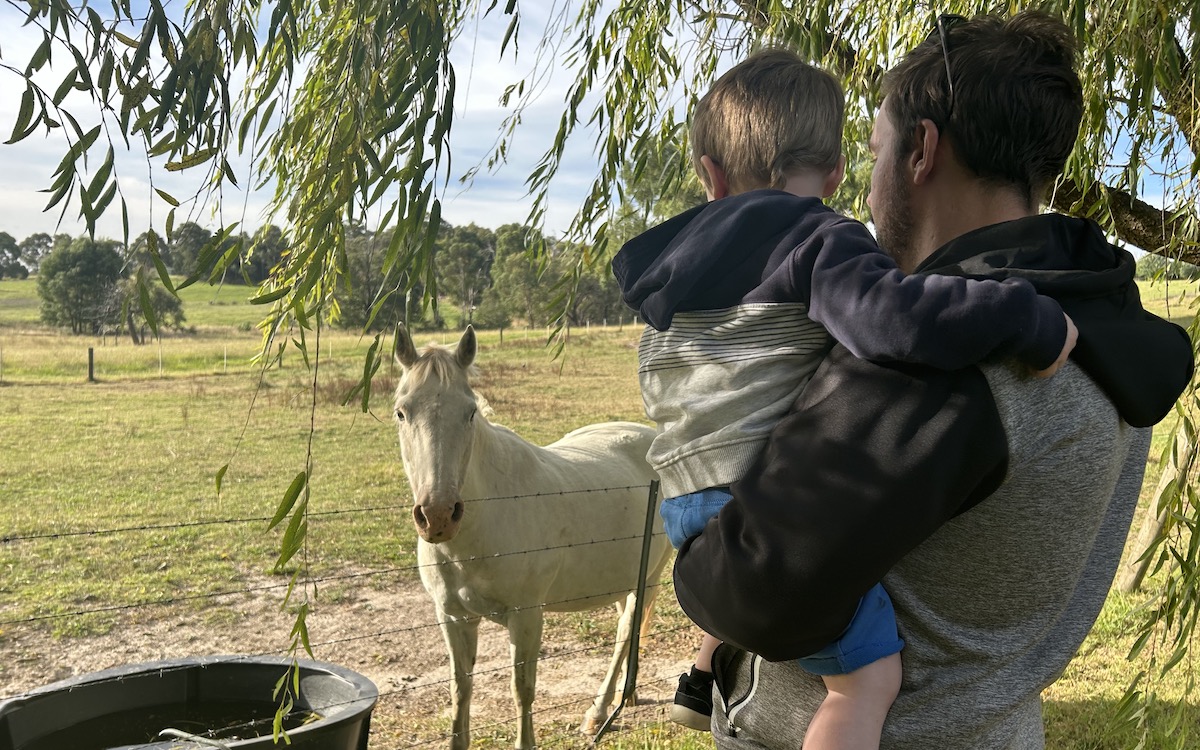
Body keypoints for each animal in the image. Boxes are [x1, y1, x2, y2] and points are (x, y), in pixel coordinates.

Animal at [396, 324, 672, 748]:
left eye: (470, 412)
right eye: (401, 412)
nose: (438, 515)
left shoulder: (526, 616)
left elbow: (522, 688)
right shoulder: (453, 617)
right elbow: (461, 690)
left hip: (653, 574)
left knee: (627, 629)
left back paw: (599, 711)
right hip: (624, 578)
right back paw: (627, 694)